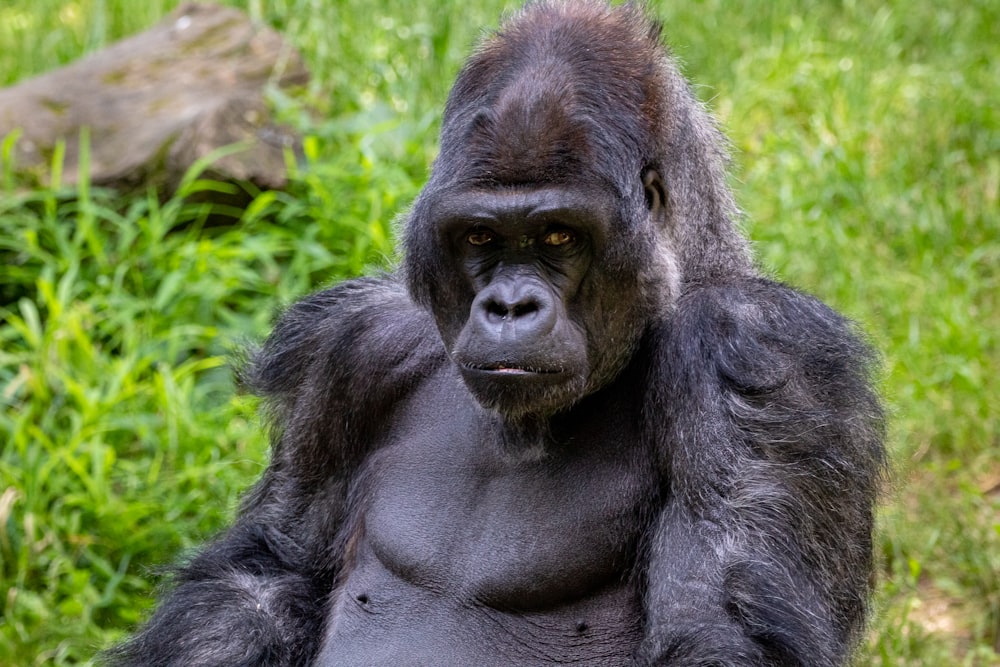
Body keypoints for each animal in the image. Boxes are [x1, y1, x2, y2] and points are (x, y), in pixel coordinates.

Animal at [111, 2, 884, 664]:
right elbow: (272, 569)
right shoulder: (350, 348)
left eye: (559, 235)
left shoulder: (748, 353)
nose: (509, 306)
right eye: (480, 236)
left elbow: (720, 621)